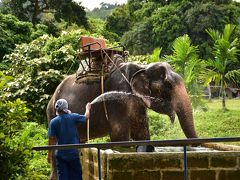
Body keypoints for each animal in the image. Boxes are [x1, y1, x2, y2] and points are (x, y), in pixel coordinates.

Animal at [46, 60, 197, 179]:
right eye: (168, 86)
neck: (142, 67)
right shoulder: (117, 99)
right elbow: (119, 134)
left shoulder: (138, 101)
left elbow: (141, 132)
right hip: (52, 114)